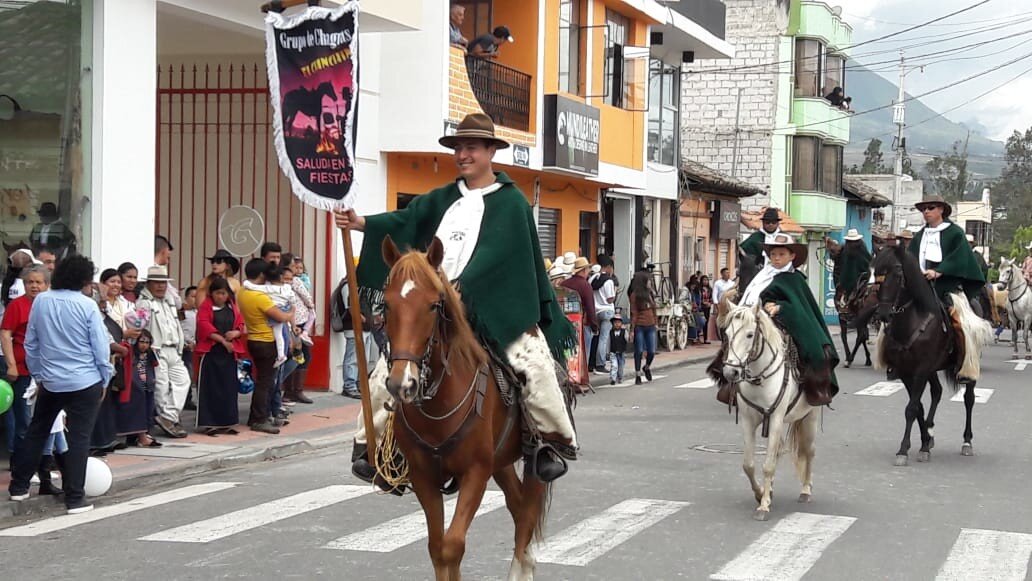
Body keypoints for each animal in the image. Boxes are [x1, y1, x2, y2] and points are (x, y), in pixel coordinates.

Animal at [381, 237, 557, 581]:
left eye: (433, 305)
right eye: (387, 304)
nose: (402, 383)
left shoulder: (475, 473)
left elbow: (453, 545)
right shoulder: (424, 476)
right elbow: (438, 549)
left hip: (533, 460)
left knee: (526, 516)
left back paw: (522, 568)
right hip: (500, 461)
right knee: (518, 507)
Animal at [718, 305, 821, 522]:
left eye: (750, 335)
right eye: (727, 334)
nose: (730, 373)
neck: (760, 379)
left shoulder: (775, 420)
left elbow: (768, 465)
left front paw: (763, 507)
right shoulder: (748, 421)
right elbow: (749, 464)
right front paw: (761, 494)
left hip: (810, 418)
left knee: (808, 451)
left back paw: (806, 490)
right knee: (779, 451)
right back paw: (771, 489)